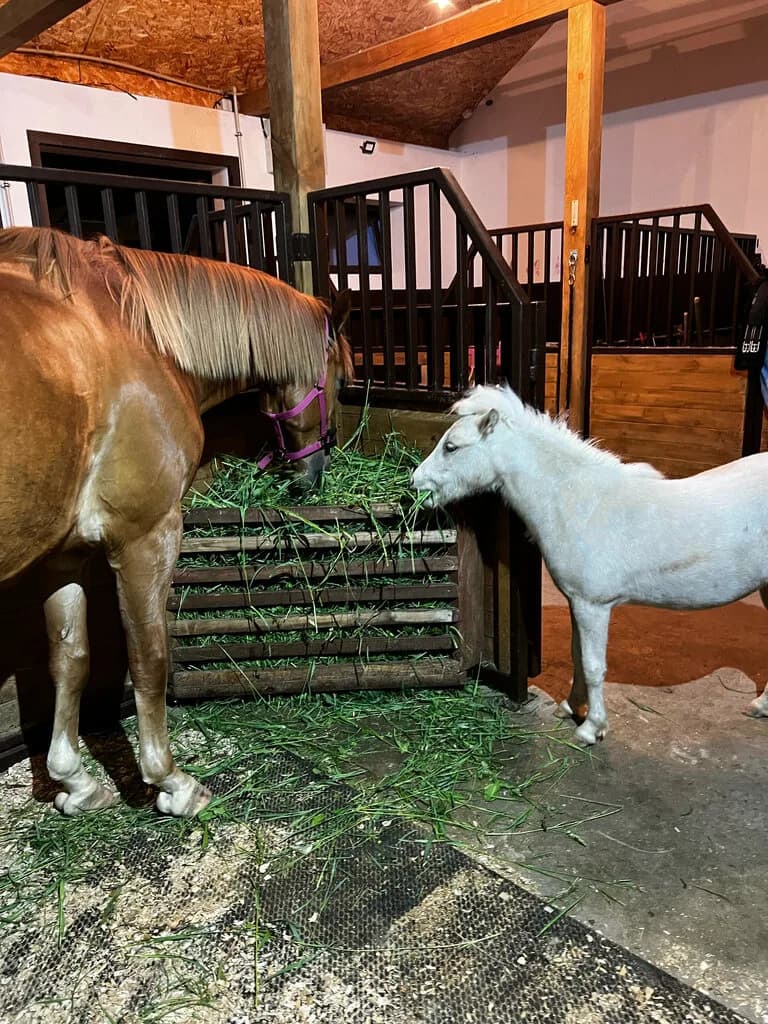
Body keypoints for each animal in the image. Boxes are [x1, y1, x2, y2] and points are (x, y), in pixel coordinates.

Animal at [0, 226, 353, 816]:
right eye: (342, 381)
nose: (314, 475)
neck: (144, 340)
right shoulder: (147, 536)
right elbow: (150, 658)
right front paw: (171, 782)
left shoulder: (63, 555)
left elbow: (69, 660)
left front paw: (75, 781)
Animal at [411, 384, 768, 745]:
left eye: (451, 447)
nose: (415, 483)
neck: (580, 502)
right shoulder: (577, 603)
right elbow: (578, 657)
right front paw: (571, 707)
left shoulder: (593, 606)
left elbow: (594, 666)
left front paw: (591, 728)